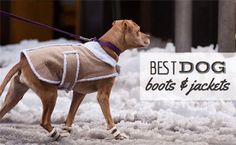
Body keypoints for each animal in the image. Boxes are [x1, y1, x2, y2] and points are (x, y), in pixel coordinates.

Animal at [0, 19, 150, 140]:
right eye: (138, 30)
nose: (148, 36)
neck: (107, 47)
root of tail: (22, 61)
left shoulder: (79, 94)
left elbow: (71, 114)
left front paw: (66, 131)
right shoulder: (103, 95)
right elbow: (109, 118)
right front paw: (117, 134)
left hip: (15, 95)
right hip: (50, 94)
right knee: (44, 121)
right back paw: (56, 134)